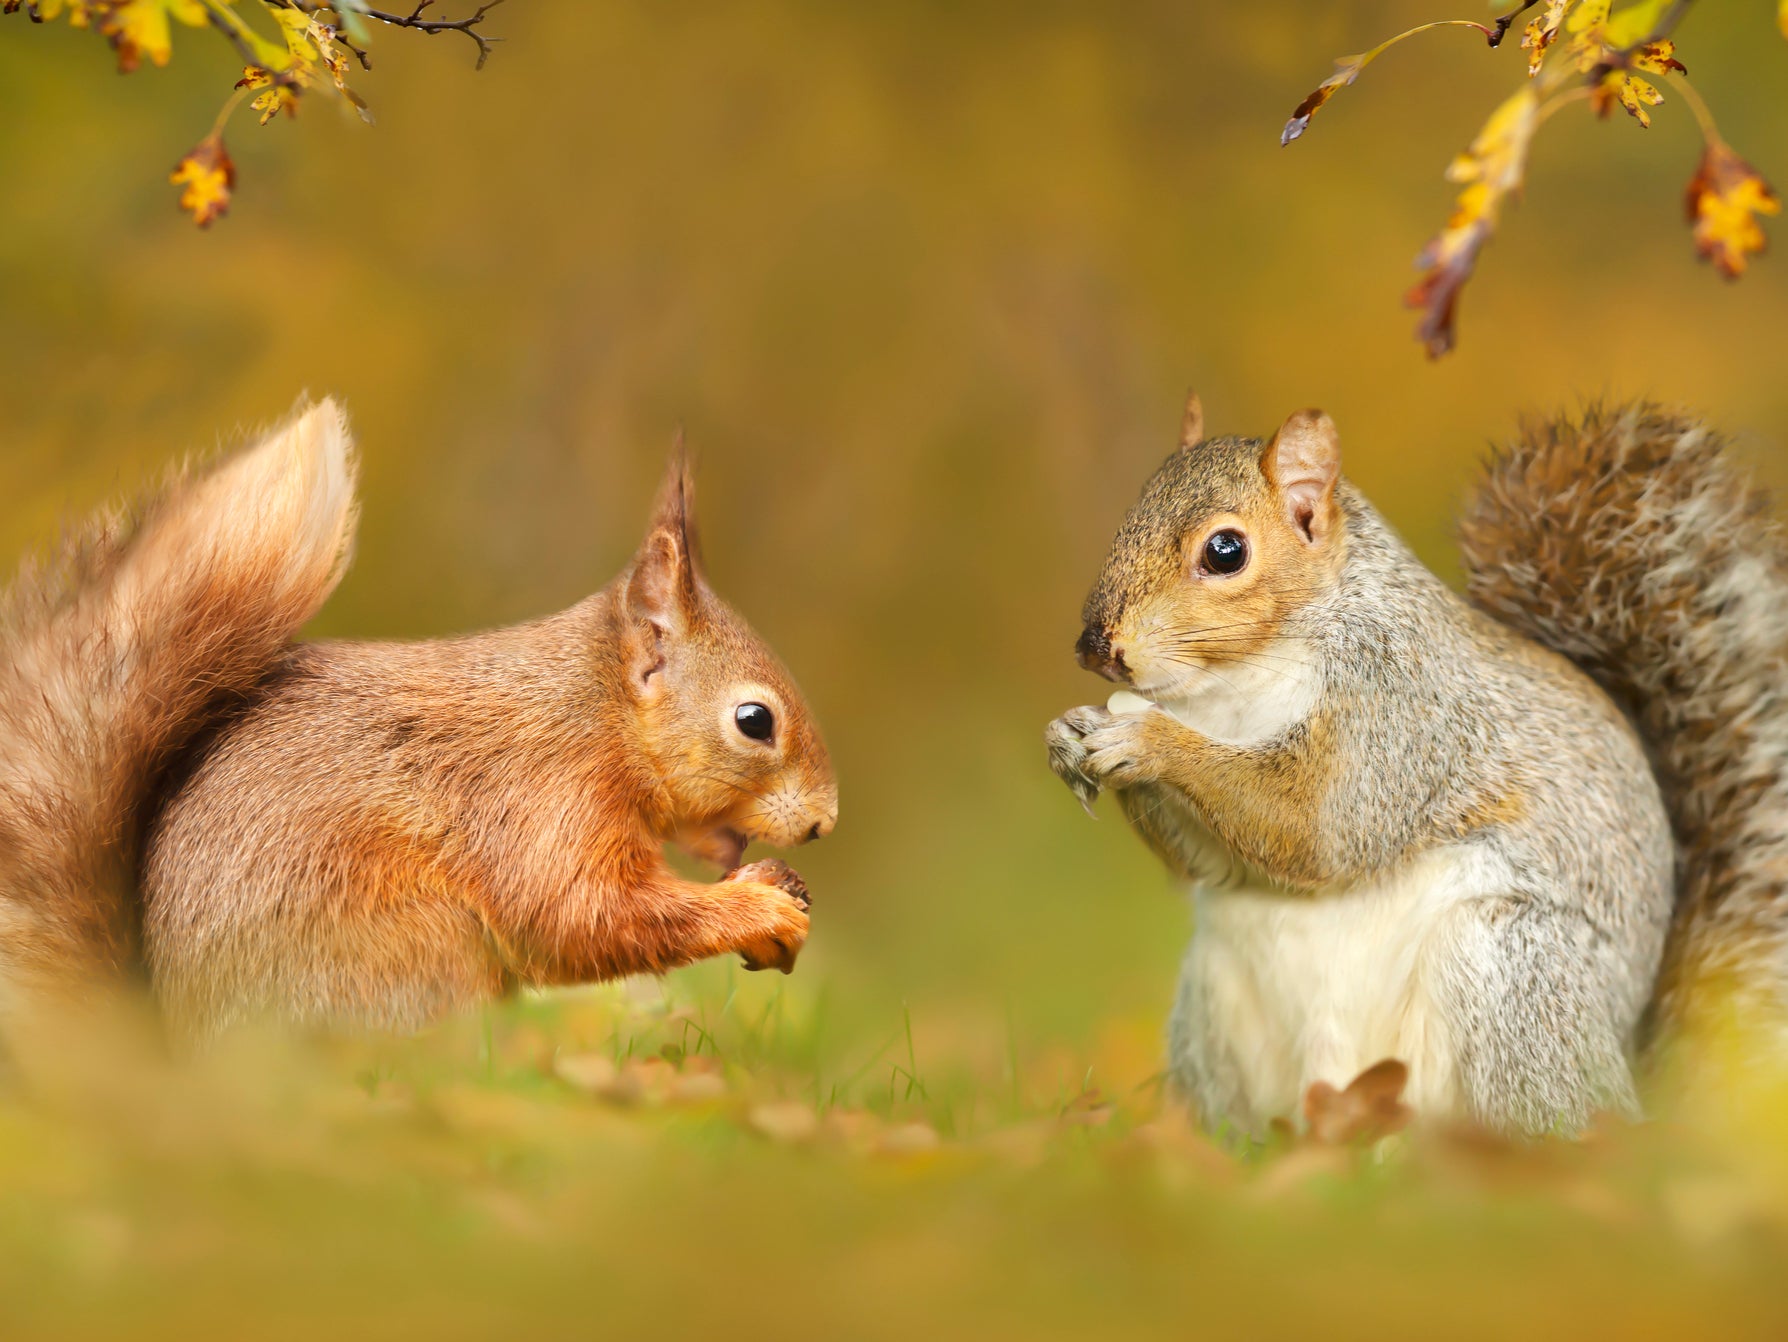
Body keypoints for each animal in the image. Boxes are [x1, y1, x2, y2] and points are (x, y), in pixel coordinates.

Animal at [1044, 396, 1788, 1136]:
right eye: (1133, 510)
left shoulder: (1402, 711)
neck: (1232, 688)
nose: (1093, 647)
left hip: (1509, 971)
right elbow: (1212, 865)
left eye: (1225, 551)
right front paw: (1069, 735)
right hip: (1212, 1006)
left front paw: (1147, 739)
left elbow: (1320, 828)